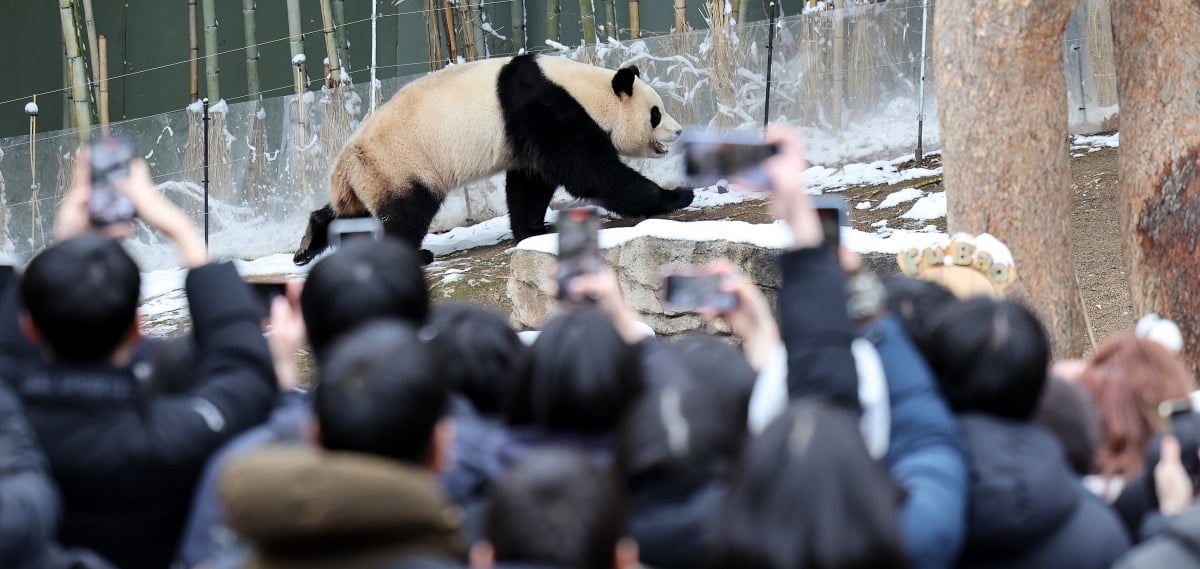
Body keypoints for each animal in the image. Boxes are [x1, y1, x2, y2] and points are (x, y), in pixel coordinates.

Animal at [291, 51, 700, 264]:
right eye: (656, 114)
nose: (678, 132)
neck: (585, 89)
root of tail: (343, 164)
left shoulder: (529, 128)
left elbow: (530, 181)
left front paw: (534, 229)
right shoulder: (545, 107)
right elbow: (588, 171)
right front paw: (677, 195)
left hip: (371, 175)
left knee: (351, 213)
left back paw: (308, 243)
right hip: (400, 162)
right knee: (406, 211)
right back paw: (413, 255)